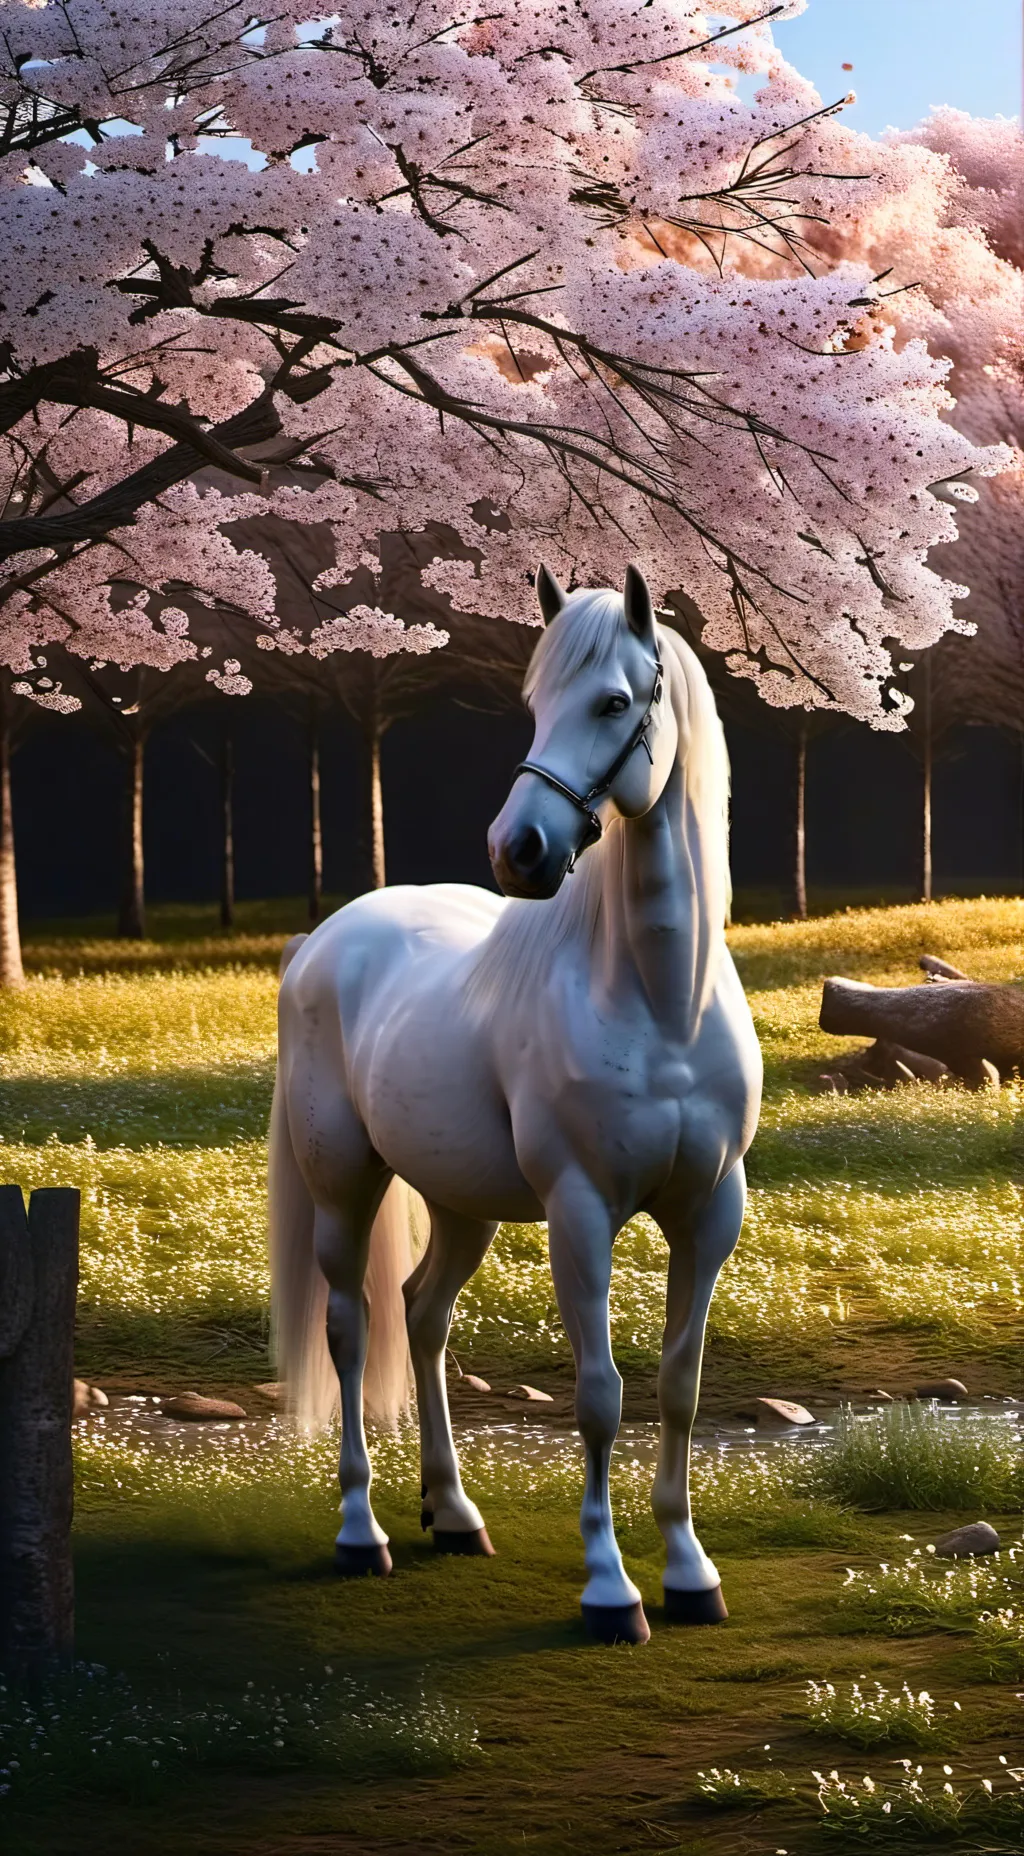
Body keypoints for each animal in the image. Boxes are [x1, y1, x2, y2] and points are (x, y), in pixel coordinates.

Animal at [269, 563, 762, 1644]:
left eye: (613, 703)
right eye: (536, 705)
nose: (517, 850)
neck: (658, 1001)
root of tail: (326, 940)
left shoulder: (710, 1213)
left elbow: (679, 1384)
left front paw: (692, 1572)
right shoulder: (580, 1212)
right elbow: (599, 1395)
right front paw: (611, 1589)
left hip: (461, 1204)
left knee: (421, 1317)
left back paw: (453, 1512)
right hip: (343, 1190)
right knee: (351, 1329)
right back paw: (361, 1530)